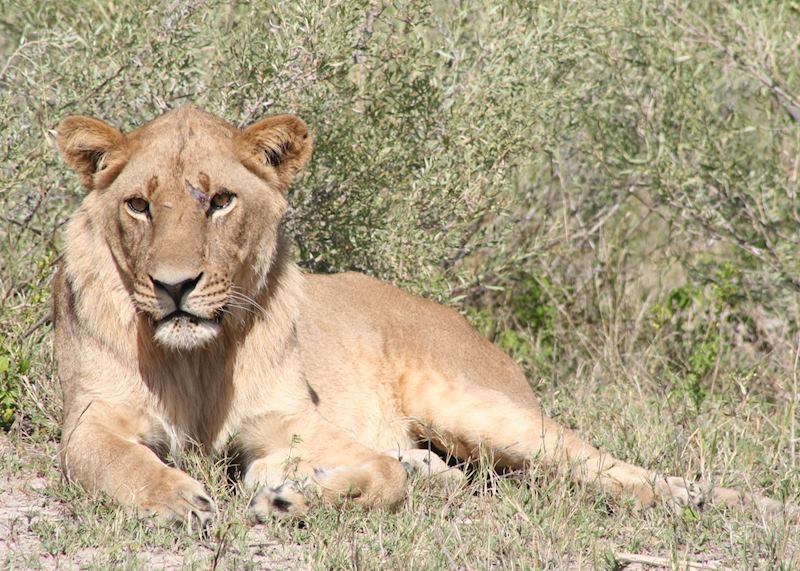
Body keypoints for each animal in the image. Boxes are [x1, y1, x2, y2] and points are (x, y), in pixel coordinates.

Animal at [53, 104, 790, 527]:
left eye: (220, 201)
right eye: (139, 205)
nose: (173, 285)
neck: (200, 360)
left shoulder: (290, 422)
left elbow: (383, 478)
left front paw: (290, 496)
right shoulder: (92, 419)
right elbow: (117, 463)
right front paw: (177, 498)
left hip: (477, 407)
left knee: (607, 466)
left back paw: (729, 503)